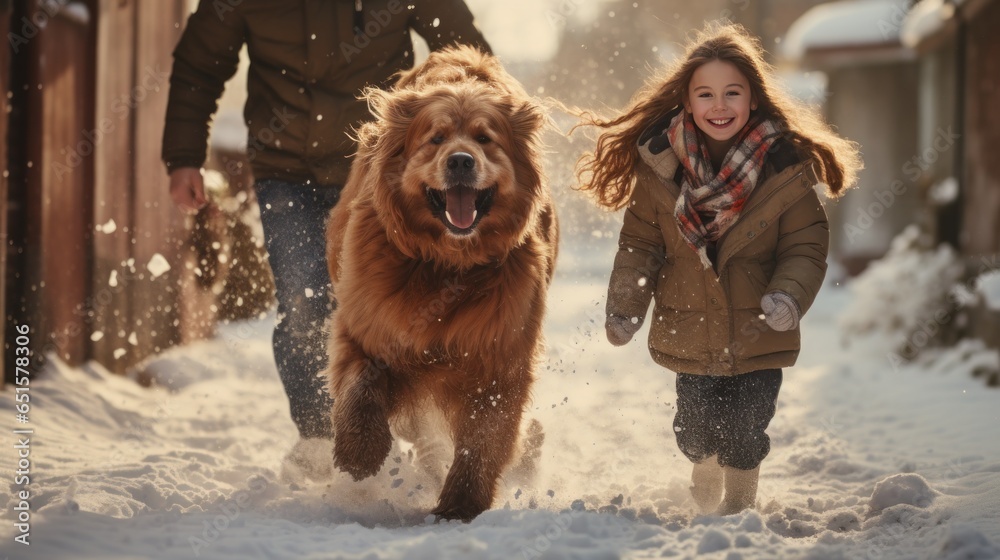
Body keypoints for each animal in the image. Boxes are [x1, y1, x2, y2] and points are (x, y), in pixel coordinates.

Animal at [326, 46, 556, 524]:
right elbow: (360, 386)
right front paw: (359, 452)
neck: (447, 264)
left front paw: (460, 505)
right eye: (435, 138)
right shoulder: (365, 325)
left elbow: (483, 440)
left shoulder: (501, 357)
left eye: (485, 139)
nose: (461, 160)